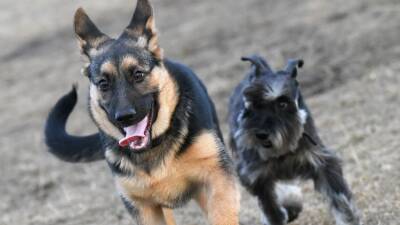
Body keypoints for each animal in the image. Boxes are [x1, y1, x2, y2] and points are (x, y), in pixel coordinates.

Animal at [47, 0, 241, 224]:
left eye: (138, 75)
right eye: (103, 84)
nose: (124, 117)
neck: (153, 146)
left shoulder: (217, 177)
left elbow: (222, 215)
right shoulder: (142, 205)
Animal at [228, 55, 360, 225]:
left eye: (283, 103)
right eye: (253, 104)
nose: (261, 134)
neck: (282, 151)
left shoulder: (322, 163)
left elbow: (341, 201)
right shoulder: (257, 178)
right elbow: (272, 211)